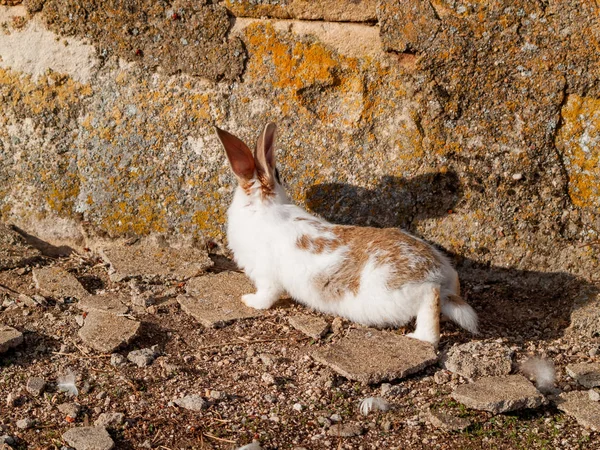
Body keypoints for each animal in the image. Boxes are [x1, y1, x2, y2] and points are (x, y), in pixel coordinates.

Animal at [216, 123, 478, 348]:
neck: (263, 206)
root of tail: (437, 273)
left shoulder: (266, 276)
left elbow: (266, 296)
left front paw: (248, 301)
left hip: (394, 294)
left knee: (428, 299)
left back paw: (419, 336)